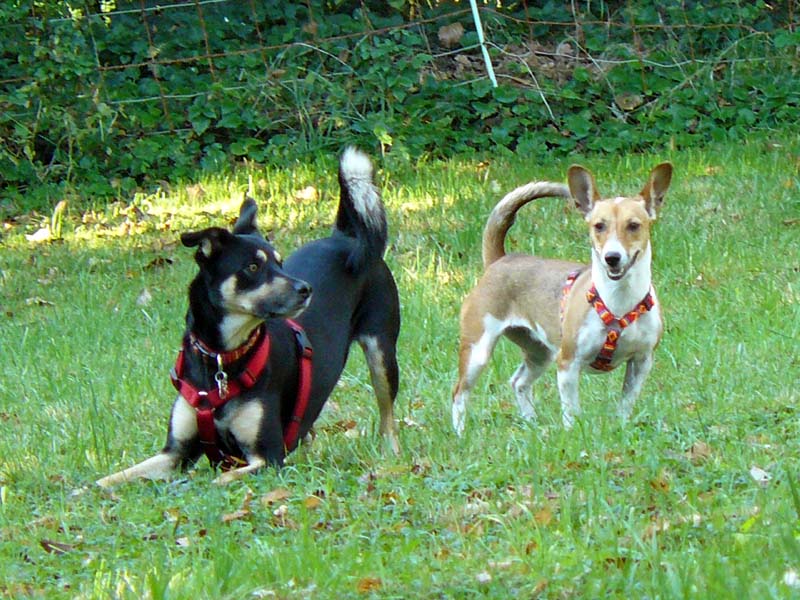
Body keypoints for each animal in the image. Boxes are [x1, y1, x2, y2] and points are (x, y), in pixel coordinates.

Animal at [97, 148, 400, 486]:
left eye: (280, 263)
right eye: (253, 267)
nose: (305, 289)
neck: (221, 359)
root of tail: (344, 237)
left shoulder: (267, 458)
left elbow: (219, 480)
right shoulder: (174, 453)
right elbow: (113, 478)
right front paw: (87, 489)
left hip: (382, 352)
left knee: (387, 417)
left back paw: (390, 454)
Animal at [451, 163, 672, 434]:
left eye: (634, 225)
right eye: (599, 226)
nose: (612, 257)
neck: (619, 301)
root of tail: (499, 260)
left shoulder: (641, 361)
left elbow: (625, 404)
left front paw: (620, 427)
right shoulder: (568, 363)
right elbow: (571, 410)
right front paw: (573, 432)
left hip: (539, 352)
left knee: (518, 382)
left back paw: (531, 422)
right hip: (478, 351)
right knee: (459, 393)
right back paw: (460, 432)